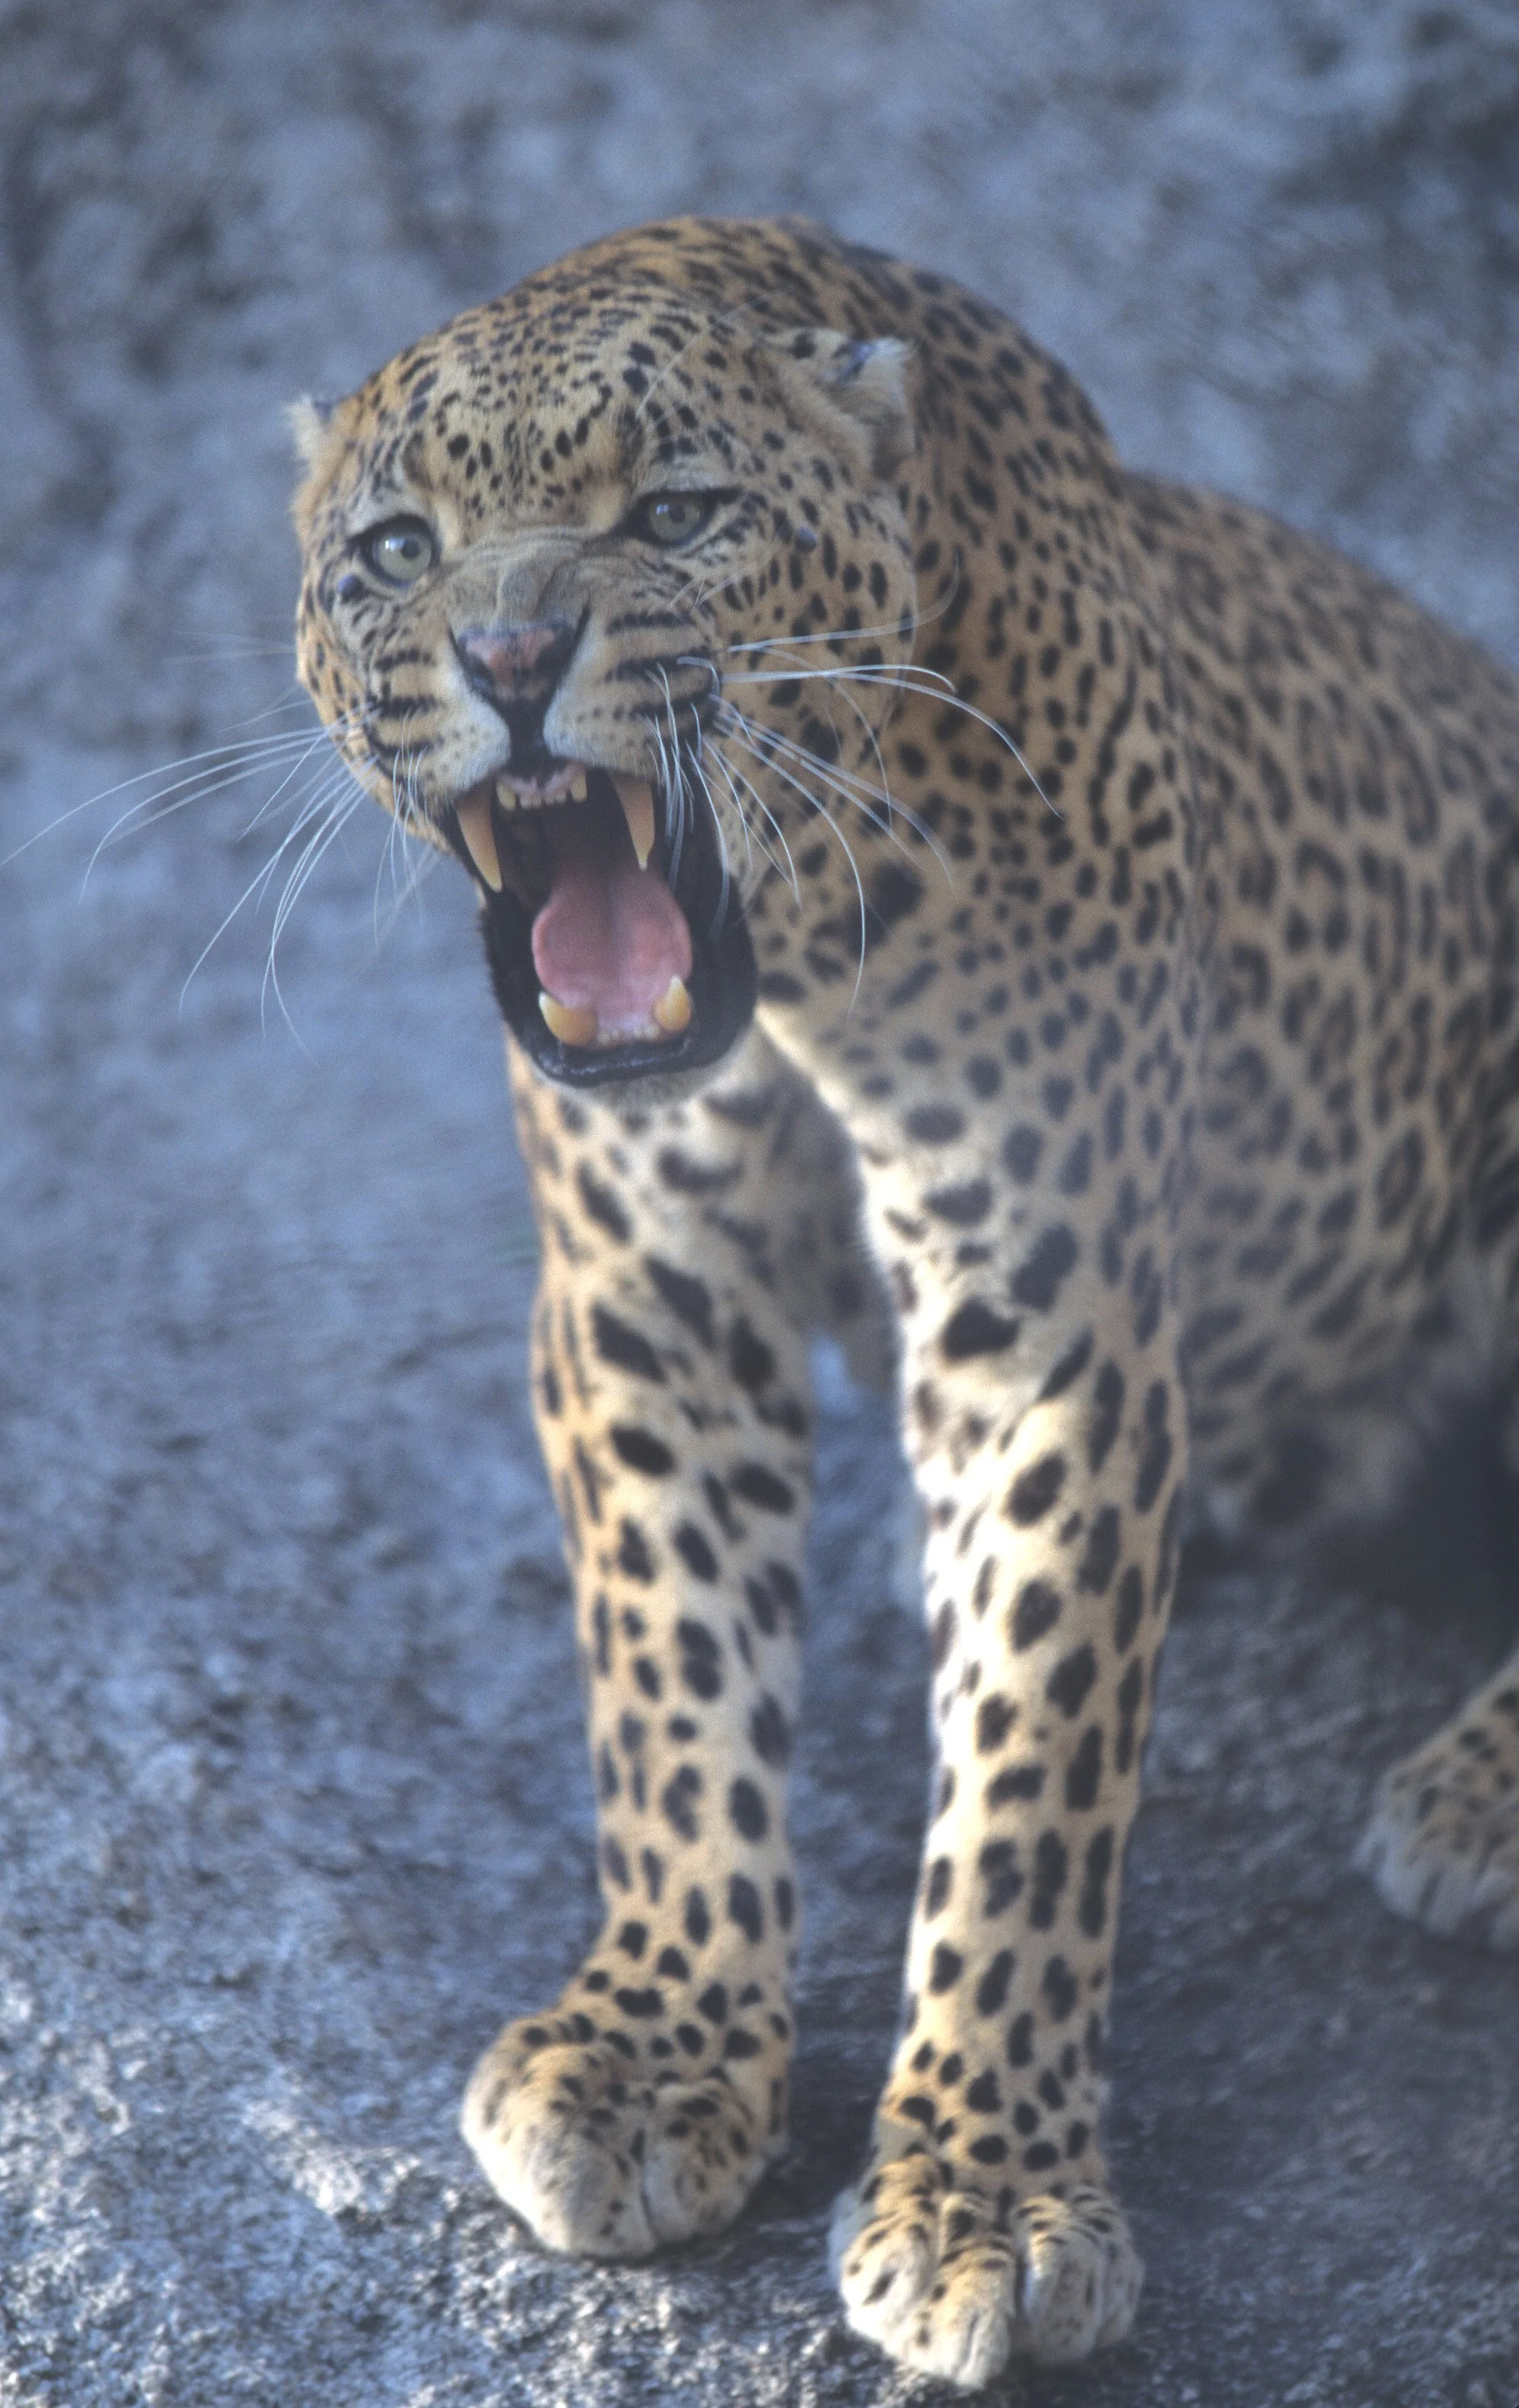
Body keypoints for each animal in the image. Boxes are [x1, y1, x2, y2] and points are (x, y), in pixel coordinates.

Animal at [288, 214, 1519, 2389]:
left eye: (676, 517)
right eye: (396, 551)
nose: (510, 663)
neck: (793, 962)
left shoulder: (1053, 1317)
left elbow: (1030, 1770)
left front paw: (988, 2199)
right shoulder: (644, 1297)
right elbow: (674, 1684)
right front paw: (655, 2051)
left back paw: (1480, 1799)